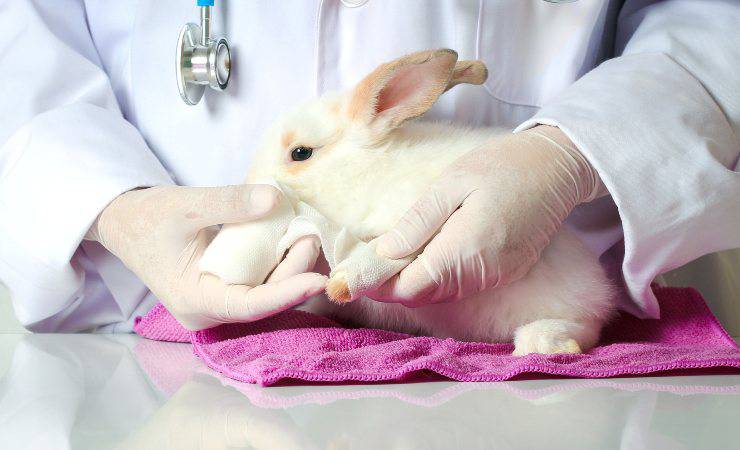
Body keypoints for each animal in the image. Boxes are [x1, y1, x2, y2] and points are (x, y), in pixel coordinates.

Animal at [226, 49, 616, 355]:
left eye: (301, 153)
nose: (250, 183)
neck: (364, 173)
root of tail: (600, 294)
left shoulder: (412, 231)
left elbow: (382, 254)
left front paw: (342, 281)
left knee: (583, 329)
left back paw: (544, 343)